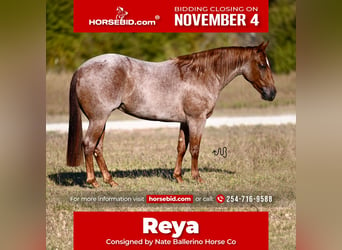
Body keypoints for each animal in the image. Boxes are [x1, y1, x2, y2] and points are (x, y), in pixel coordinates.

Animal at [66, 42, 276, 187]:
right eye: (262, 65)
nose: (272, 93)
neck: (201, 74)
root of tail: (81, 69)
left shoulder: (185, 122)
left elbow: (181, 148)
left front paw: (179, 178)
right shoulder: (197, 120)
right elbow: (195, 149)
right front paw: (197, 178)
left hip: (102, 120)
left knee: (98, 148)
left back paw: (110, 181)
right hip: (98, 119)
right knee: (89, 145)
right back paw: (93, 181)